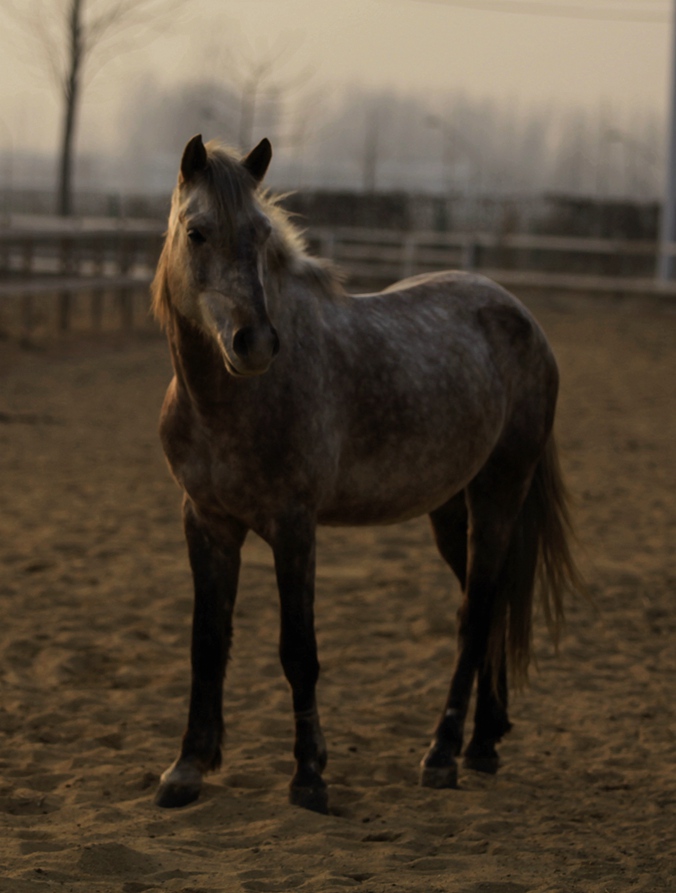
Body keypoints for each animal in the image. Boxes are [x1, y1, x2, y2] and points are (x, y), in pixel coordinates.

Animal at [150, 134, 583, 814]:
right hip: (451, 510)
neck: (228, 403)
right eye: (196, 232)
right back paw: (484, 743)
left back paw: (442, 755)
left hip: (498, 495)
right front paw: (189, 766)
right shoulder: (207, 522)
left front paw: (309, 775)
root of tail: (523, 318)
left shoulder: (294, 527)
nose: (255, 343)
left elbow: (298, 651)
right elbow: (206, 644)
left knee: (476, 614)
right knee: (489, 603)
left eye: (261, 232)